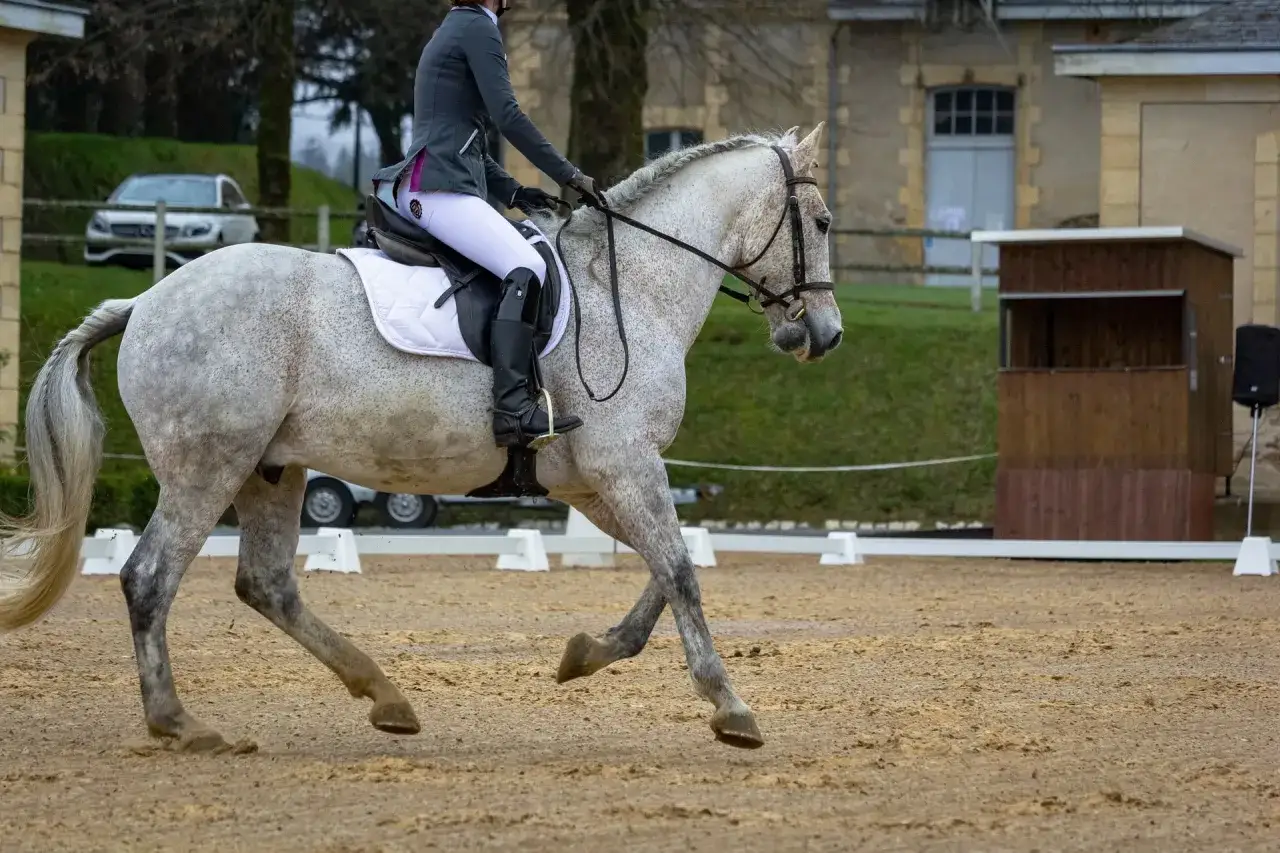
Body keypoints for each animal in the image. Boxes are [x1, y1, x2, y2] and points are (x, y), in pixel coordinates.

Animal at [0, 123, 842, 752]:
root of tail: (144, 301)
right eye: (824, 223)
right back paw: (180, 721)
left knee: (265, 583)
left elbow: (665, 573)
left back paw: (384, 695)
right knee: (149, 576)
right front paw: (730, 706)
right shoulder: (625, 462)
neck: (628, 287)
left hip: (270, 468)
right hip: (208, 467)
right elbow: (680, 571)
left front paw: (586, 654)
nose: (824, 335)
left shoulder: (593, 476)